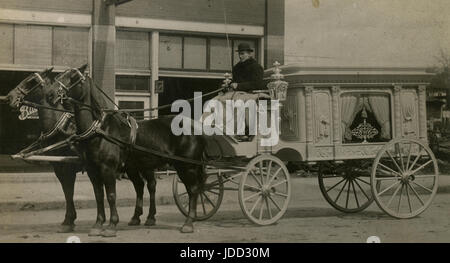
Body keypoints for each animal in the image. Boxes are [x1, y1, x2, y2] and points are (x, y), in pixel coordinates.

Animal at [44, 67, 207, 236]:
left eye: (74, 77)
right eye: (58, 75)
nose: (50, 94)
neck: (100, 130)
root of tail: (196, 127)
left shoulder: (107, 169)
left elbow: (110, 196)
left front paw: (111, 225)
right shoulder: (92, 170)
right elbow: (98, 196)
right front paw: (98, 224)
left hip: (186, 166)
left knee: (193, 190)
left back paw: (188, 223)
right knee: (149, 186)